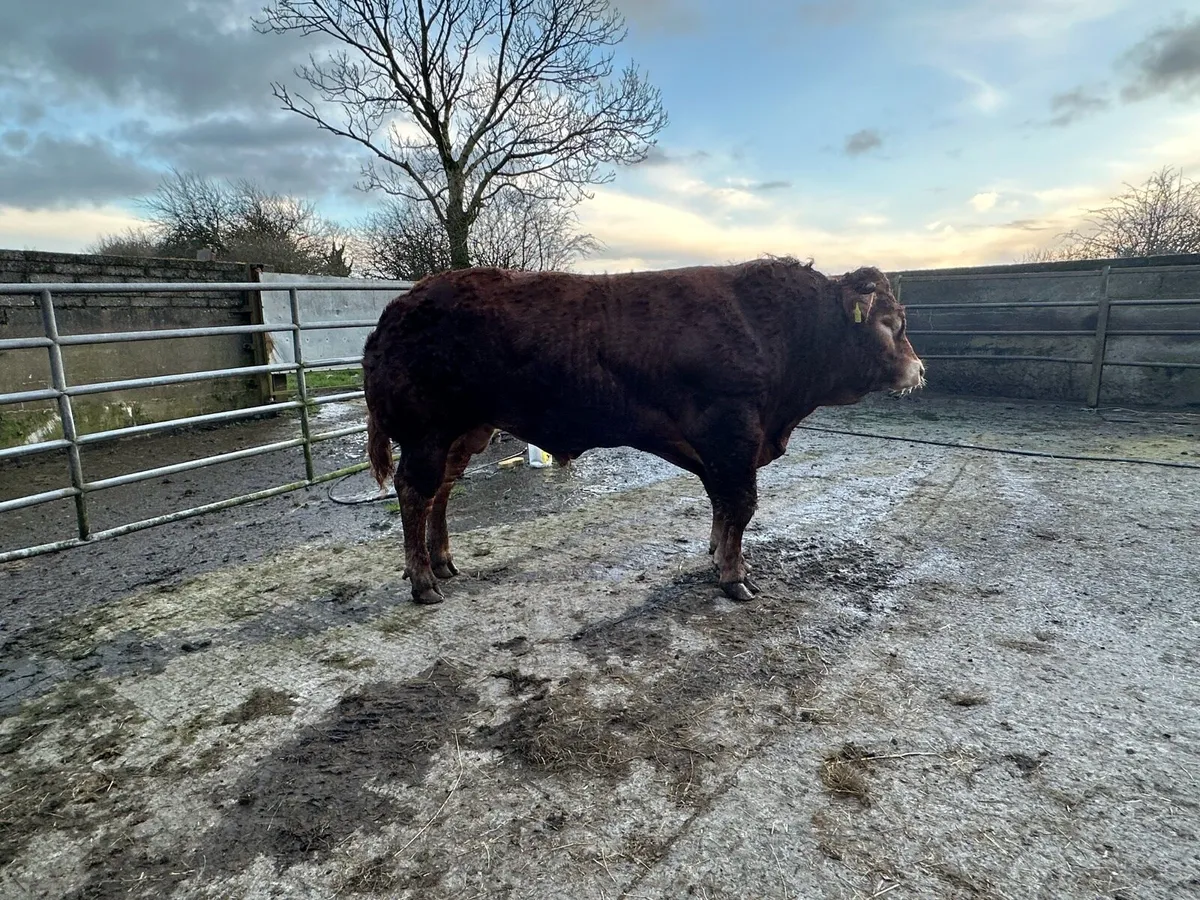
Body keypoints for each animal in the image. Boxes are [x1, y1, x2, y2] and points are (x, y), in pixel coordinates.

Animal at [362, 257, 924, 605]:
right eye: (891, 323)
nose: (919, 370)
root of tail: (400, 307)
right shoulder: (732, 430)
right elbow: (741, 503)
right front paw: (735, 577)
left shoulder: (719, 446)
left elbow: (723, 504)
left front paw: (717, 555)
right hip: (427, 432)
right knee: (414, 492)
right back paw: (422, 582)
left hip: (465, 431)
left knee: (441, 491)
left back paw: (442, 561)